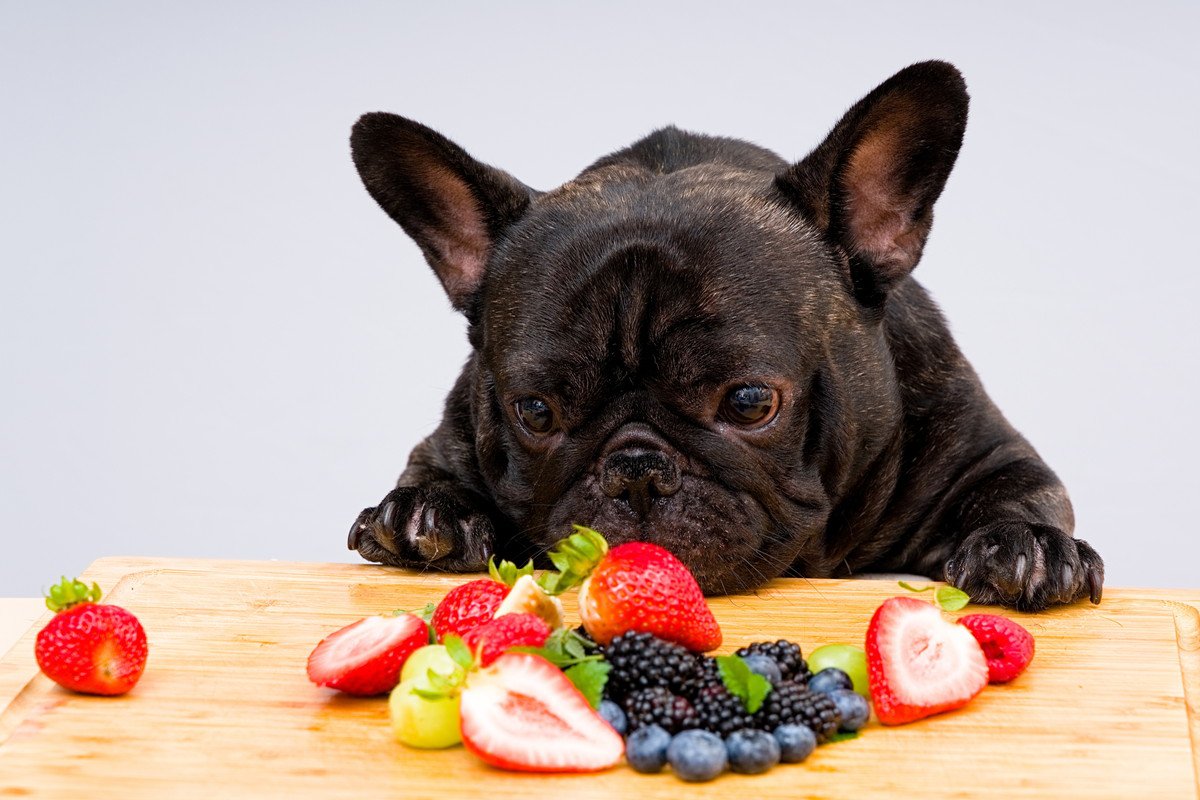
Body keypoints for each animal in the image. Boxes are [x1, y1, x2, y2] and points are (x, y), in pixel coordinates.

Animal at [343, 62, 1099, 614]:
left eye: (750, 403)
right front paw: (428, 512)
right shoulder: (446, 438)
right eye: (534, 412)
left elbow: (1020, 492)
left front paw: (1025, 546)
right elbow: (434, 475)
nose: (636, 471)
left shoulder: (988, 451)